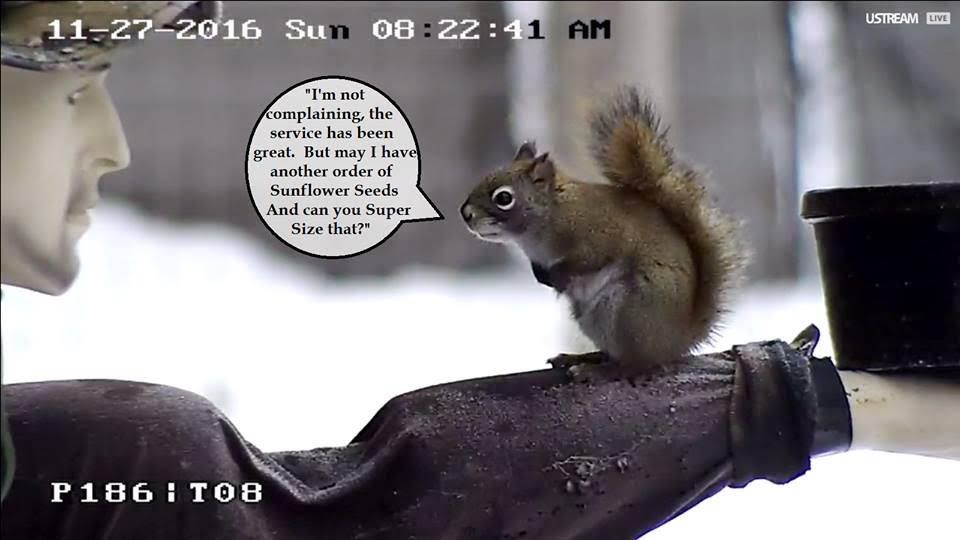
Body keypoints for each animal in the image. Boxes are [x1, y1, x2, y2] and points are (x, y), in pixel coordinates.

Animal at [460, 86, 747, 377]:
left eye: (503, 198)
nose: (465, 213)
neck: (549, 216)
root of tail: (676, 342)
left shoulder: (597, 233)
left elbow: (591, 258)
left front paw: (559, 275)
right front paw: (542, 276)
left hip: (626, 311)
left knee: (633, 364)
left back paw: (595, 370)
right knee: (614, 355)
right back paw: (581, 358)